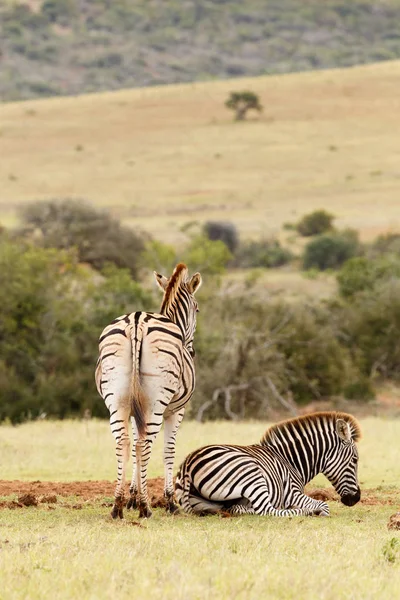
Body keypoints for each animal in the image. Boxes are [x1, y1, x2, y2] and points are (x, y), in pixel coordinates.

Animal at [95, 264, 202, 516]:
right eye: (197, 309)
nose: (192, 352)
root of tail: (137, 321)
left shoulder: (136, 412)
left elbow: (135, 447)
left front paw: (132, 497)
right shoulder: (176, 411)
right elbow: (168, 451)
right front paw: (168, 500)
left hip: (116, 400)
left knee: (124, 443)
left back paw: (117, 505)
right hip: (156, 403)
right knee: (144, 445)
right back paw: (146, 507)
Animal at [174, 412, 360, 516]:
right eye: (355, 460)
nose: (356, 498)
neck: (291, 461)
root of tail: (189, 463)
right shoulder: (292, 493)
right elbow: (324, 505)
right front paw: (315, 510)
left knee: (236, 508)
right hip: (251, 473)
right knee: (266, 510)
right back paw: (307, 511)